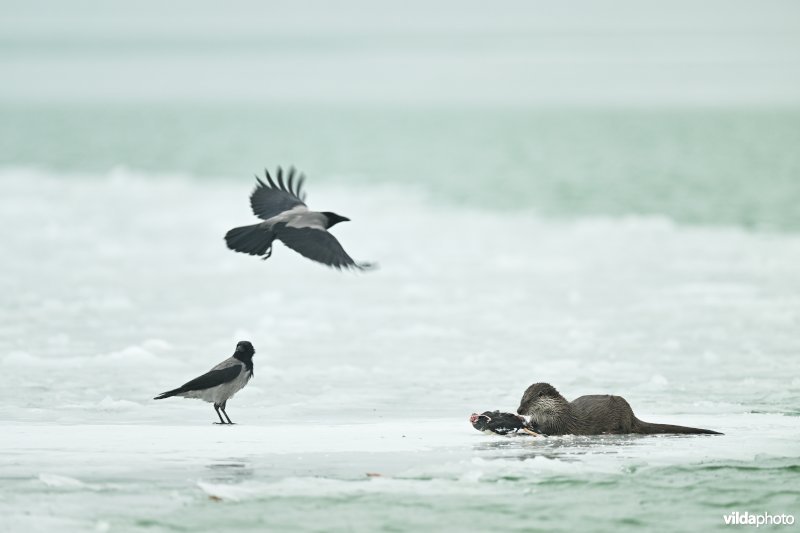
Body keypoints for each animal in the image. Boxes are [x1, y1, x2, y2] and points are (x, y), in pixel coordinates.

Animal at [517, 383, 722, 435]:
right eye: (521, 398)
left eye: (528, 400)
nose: (518, 411)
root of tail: (632, 414)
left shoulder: (560, 420)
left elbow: (552, 429)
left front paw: (534, 427)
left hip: (622, 415)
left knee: (626, 429)